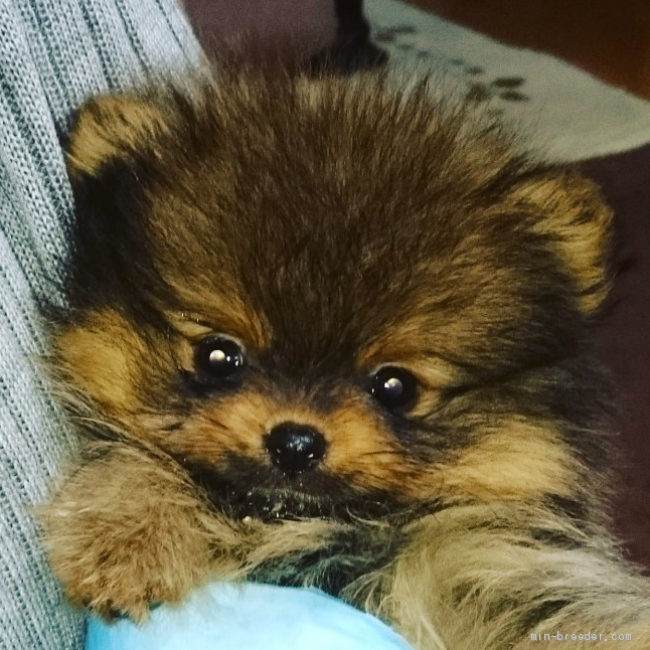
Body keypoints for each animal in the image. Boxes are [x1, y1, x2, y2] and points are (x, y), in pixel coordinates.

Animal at [40, 67, 650, 649]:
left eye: (396, 387)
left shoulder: (493, 567)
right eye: (218, 356)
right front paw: (126, 537)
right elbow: (134, 457)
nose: (295, 442)